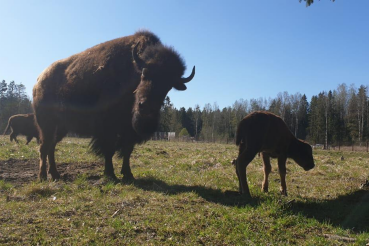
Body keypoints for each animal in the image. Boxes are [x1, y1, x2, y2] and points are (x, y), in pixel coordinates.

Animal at [32, 30, 194, 181]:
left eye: (169, 84)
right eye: (144, 73)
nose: (146, 108)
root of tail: (39, 81)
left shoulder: (129, 131)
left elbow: (127, 151)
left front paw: (128, 174)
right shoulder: (108, 128)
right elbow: (109, 149)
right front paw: (110, 174)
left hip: (61, 128)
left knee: (51, 147)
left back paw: (55, 174)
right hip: (47, 125)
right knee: (44, 146)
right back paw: (43, 176)